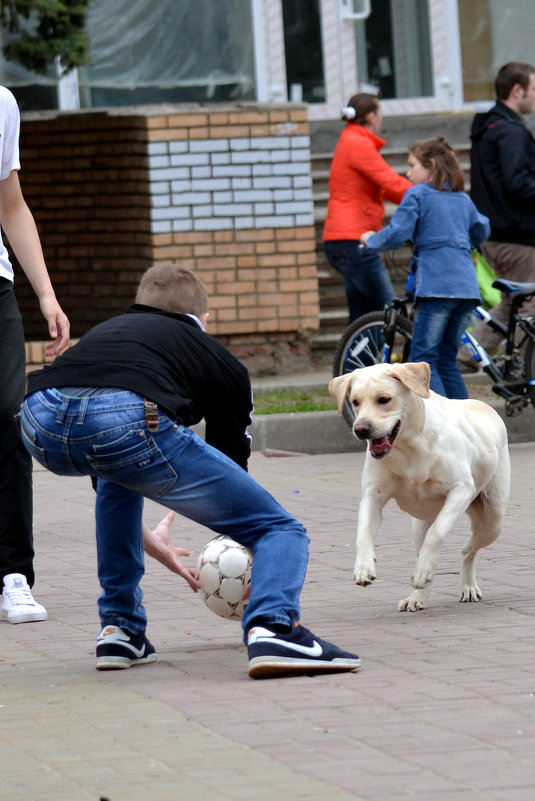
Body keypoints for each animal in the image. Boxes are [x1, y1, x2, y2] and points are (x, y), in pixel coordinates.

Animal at [330, 362, 510, 612]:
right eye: (355, 402)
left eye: (384, 399)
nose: (361, 429)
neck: (409, 447)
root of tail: (482, 404)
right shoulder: (372, 496)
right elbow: (363, 532)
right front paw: (364, 566)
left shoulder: (460, 489)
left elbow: (437, 533)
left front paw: (423, 570)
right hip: (419, 525)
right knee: (429, 548)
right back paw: (417, 596)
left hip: (492, 520)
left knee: (467, 549)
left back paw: (465, 585)